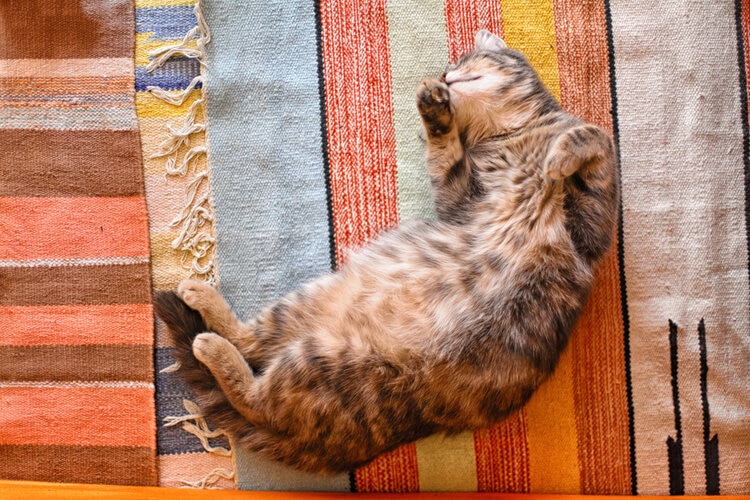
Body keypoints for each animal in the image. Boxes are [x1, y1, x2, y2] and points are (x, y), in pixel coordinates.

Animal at [156, 29, 620, 474]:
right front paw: (434, 110)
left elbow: (595, 136)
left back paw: (208, 336)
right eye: (454, 64)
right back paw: (205, 318)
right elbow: (447, 152)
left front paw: (561, 156)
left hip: (325, 361)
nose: (446, 75)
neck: (511, 138)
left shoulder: (589, 226)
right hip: (313, 331)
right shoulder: (462, 200)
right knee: (251, 372)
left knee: (254, 383)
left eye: (465, 60)